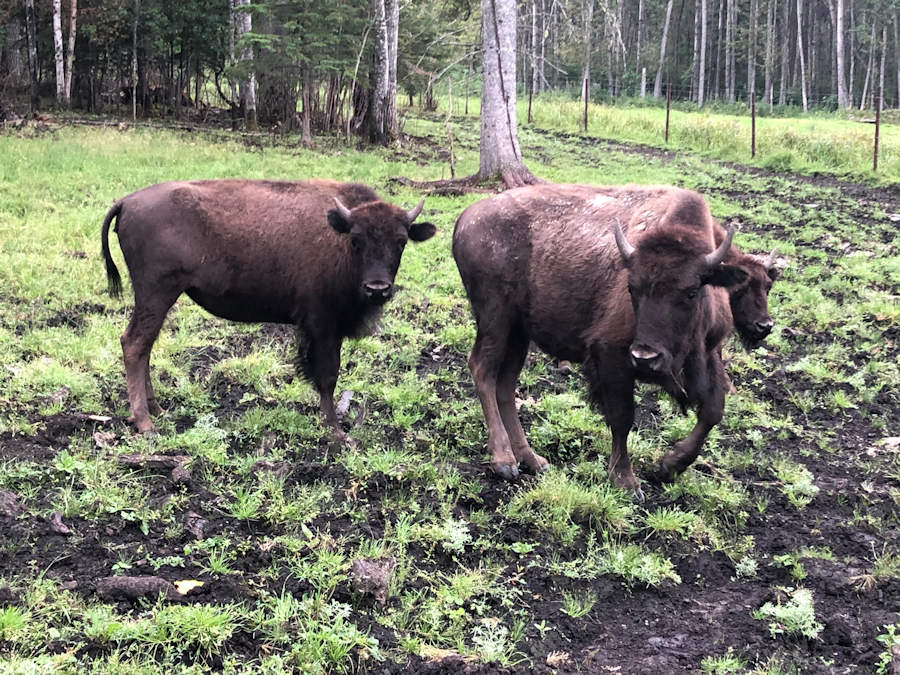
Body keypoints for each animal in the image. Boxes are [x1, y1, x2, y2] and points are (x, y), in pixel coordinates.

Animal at [101, 179, 435, 441]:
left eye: (401, 242)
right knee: (134, 344)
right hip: (156, 294)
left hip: (158, 299)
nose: (377, 288)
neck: (337, 233)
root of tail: (127, 201)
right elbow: (328, 376)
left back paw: (157, 410)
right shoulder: (323, 324)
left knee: (144, 346)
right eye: (356, 240)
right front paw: (336, 432)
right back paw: (145, 423)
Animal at [453, 183, 764, 498]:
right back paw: (504, 462)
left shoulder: (709, 351)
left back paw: (532, 460)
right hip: (496, 319)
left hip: (518, 332)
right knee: (482, 370)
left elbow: (713, 410)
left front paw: (669, 467)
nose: (645, 357)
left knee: (505, 384)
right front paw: (625, 480)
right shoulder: (611, 355)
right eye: (631, 287)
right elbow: (623, 417)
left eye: (691, 291)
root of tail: (466, 217)